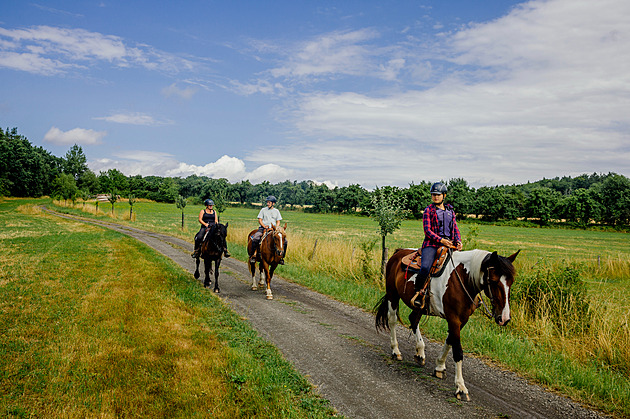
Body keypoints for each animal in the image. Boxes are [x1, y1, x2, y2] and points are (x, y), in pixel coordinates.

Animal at [376, 248, 520, 402]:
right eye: (493, 281)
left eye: (511, 282)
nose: (504, 318)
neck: (463, 279)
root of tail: (399, 251)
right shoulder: (454, 319)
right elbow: (458, 351)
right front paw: (461, 388)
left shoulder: (462, 320)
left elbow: (450, 340)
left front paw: (439, 367)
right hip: (392, 294)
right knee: (392, 320)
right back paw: (396, 351)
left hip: (419, 306)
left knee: (413, 319)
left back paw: (420, 353)